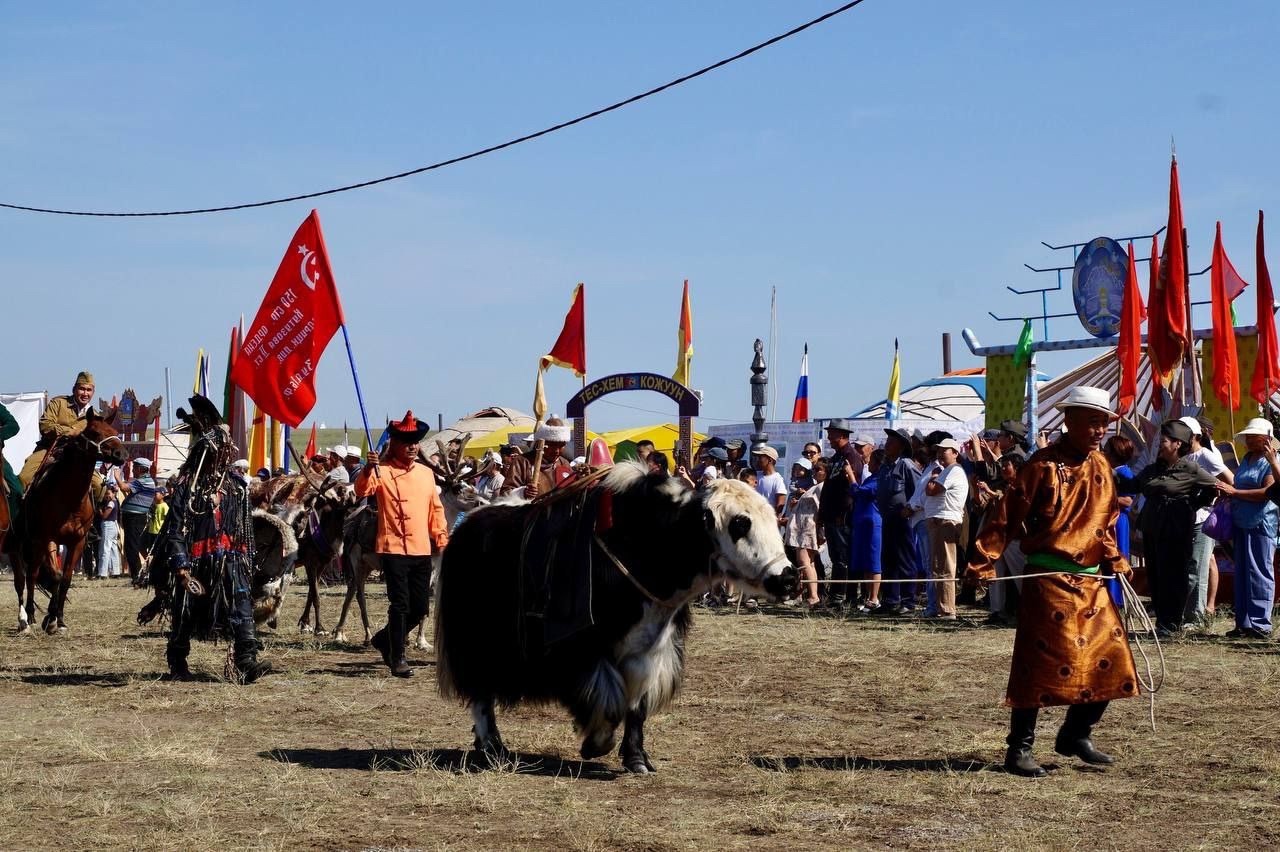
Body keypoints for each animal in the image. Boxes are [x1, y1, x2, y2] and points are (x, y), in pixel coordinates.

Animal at [10, 413, 128, 634]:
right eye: (95, 432)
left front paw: (58, 619)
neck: (69, 498)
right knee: (26, 578)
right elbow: (55, 576)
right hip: (22, 547)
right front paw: (49, 619)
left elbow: (64, 579)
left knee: (34, 576)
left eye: (115, 432)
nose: (122, 453)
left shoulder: (77, 542)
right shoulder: (48, 539)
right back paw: (27, 618)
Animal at [434, 462, 798, 773]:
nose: (788, 578)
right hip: (473, 639)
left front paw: (637, 759)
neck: (647, 547)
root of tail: (469, 523)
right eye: (740, 523)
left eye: (773, 518)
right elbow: (610, 704)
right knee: (480, 694)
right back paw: (492, 748)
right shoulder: (583, 647)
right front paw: (595, 745)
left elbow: (636, 708)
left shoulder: (649, 649)